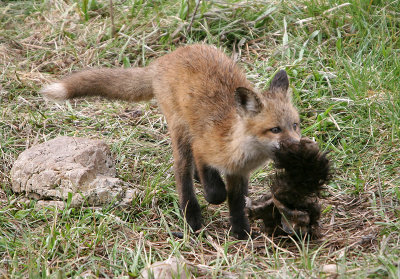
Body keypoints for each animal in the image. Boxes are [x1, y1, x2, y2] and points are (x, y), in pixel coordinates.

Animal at [41, 44, 300, 240]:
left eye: (295, 125)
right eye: (275, 129)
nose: (299, 146)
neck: (238, 148)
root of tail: (165, 58)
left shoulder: (239, 173)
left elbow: (236, 202)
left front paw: (241, 231)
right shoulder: (202, 148)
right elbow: (217, 192)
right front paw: (213, 197)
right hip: (180, 131)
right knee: (182, 173)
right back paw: (192, 219)